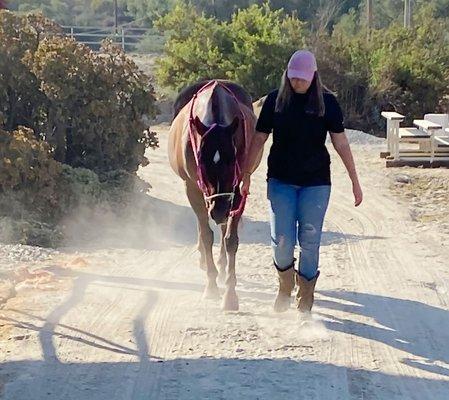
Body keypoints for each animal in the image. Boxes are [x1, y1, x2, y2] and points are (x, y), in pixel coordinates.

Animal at [166, 79, 260, 310]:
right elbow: (207, 235)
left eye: (232, 161)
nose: (218, 211)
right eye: (201, 160)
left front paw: (230, 294)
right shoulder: (192, 187)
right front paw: (211, 286)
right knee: (203, 228)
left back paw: (222, 263)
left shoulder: (237, 189)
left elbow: (231, 239)